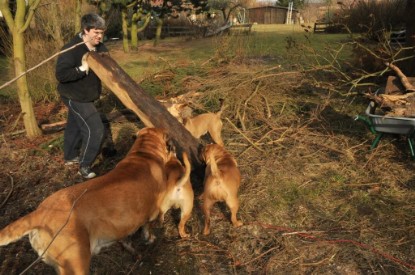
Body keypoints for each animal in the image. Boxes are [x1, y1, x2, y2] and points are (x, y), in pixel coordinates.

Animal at [0, 128, 171, 275]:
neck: (144, 152)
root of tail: (40, 212)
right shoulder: (153, 210)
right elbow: (148, 226)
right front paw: (150, 238)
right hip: (77, 264)